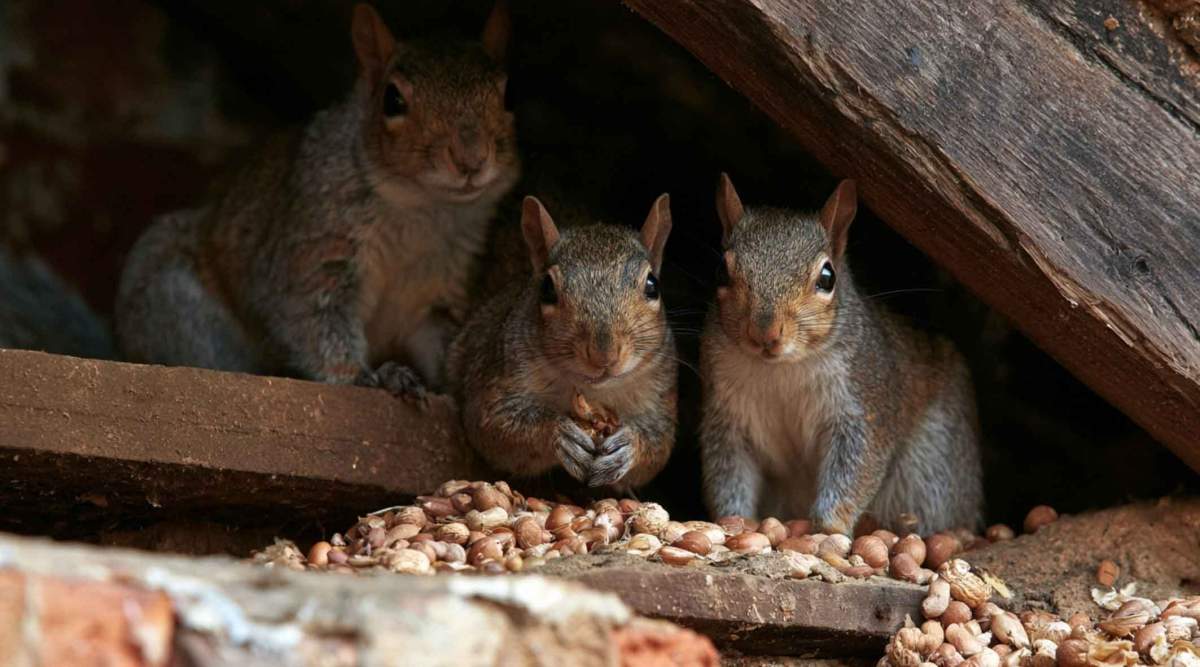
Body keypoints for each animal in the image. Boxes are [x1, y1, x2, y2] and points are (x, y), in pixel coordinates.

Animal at [114, 2, 519, 395]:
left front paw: (455, 387)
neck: (421, 207)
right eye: (392, 99)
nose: (471, 158)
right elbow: (313, 318)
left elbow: (440, 338)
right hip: (174, 304)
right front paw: (365, 376)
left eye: (507, 95)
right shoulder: (317, 247)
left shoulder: (440, 287)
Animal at [447, 194, 678, 489]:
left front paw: (628, 446)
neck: (592, 391)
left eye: (652, 285)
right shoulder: (496, 377)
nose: (604, 354)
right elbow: (493, 426)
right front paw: (560, 434)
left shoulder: (659, 392)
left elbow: (659, 445)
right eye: (546, 288)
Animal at [699, 174, 983, 535]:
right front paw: (733, 522)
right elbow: (728, 470)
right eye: (721, 271)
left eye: (827, 277)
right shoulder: (727, 417)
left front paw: (829, 527)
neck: (781, 368)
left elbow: (857, 464)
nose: (765, 333)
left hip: (933, 467)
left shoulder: (864, 401)